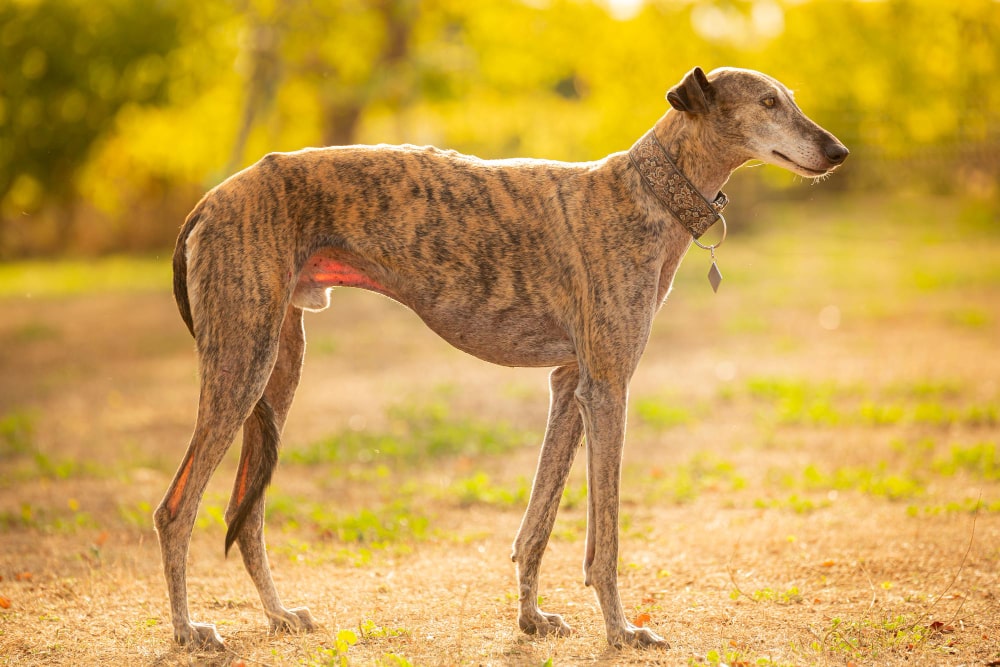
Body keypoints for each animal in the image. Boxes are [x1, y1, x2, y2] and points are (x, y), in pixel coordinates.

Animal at [154, 69, 844, 652]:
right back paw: (189, 630)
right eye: (767, 103)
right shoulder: (608, 387)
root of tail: (208, 201)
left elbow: (537, 523)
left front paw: (532, 619)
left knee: (244, 513)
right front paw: (622, 631)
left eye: (788, 97)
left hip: (277, 370)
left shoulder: (570, 385)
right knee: (175, 510)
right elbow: (605, 539)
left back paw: (278, 614)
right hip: (241, 366)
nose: (838, 152)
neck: (644, 191)